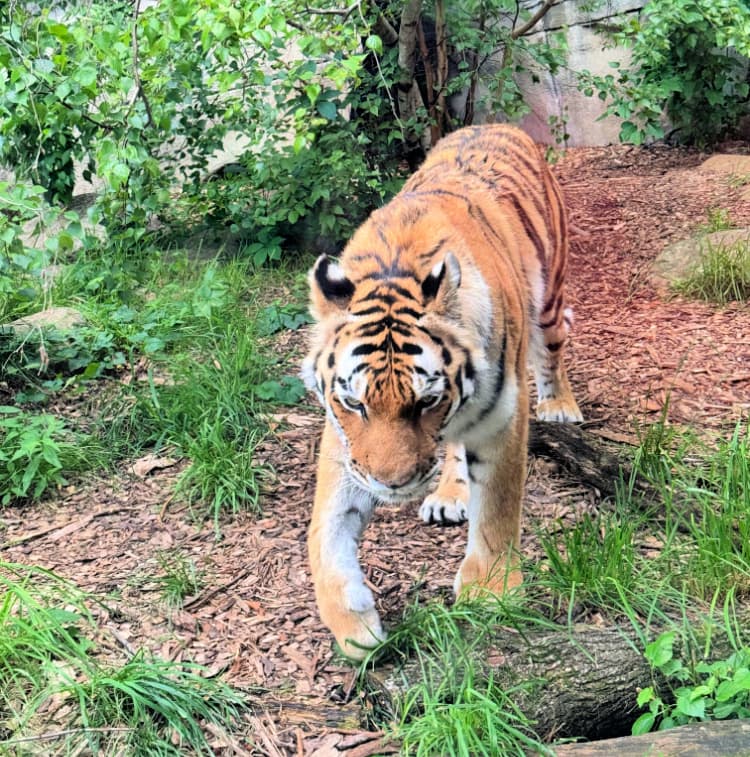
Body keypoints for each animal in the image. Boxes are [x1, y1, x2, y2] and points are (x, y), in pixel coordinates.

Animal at [302, 124, 584, 656]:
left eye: (425, 401)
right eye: (355, 404)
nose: (391, 485)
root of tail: (496, 124)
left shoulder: (501, 418)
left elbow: (497, 508)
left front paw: (490, 591)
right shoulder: (344, 444)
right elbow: (324, 532)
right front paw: (353, 625)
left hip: (550, 299)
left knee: (552, 351)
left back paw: (559, 404)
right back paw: (450, 493)